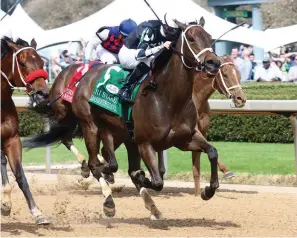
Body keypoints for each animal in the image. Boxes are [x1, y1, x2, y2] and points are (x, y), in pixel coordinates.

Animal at [0, 36, 50, 224]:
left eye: (42, 62)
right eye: (22, 64)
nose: (43, 94)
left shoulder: (12, 140)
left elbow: (20, 175)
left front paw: (38, 212)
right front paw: (5, 203)